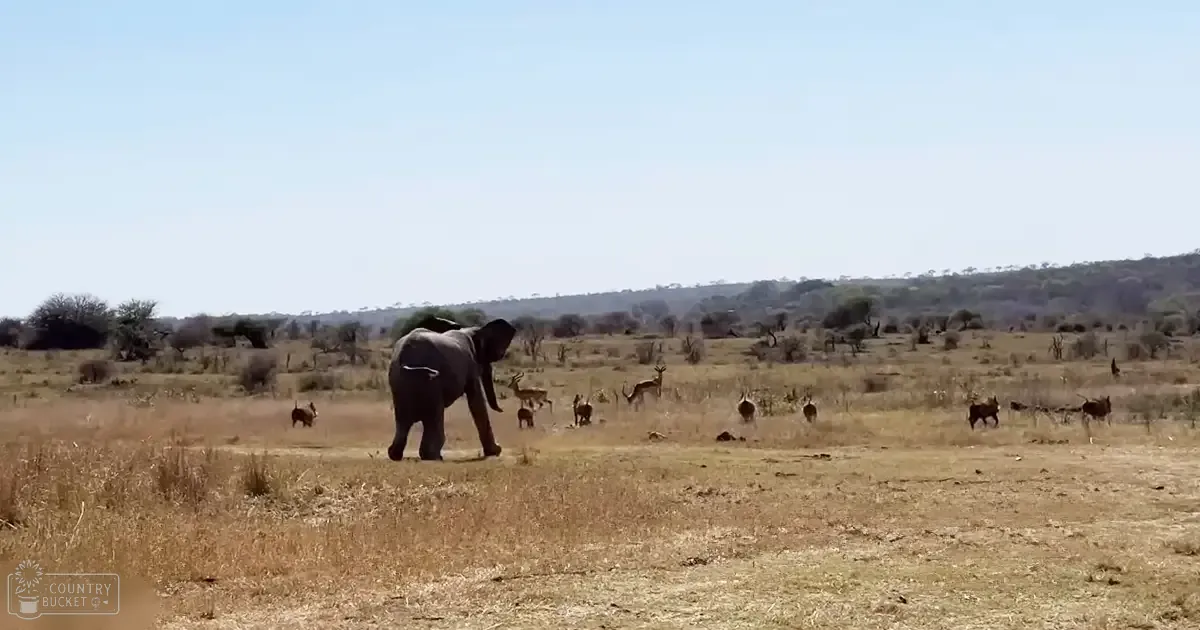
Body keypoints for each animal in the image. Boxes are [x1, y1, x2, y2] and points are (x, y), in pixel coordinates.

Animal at [387, 315, 517, 461]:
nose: (502, 409)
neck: (471, 331)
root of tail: (405, 359)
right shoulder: (470, 364)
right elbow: (476, 402)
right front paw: (495, 451)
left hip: (399, 384)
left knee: (402, 422)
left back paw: (395, 454)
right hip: (430, 384)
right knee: (434, 417)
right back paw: (433, 456)